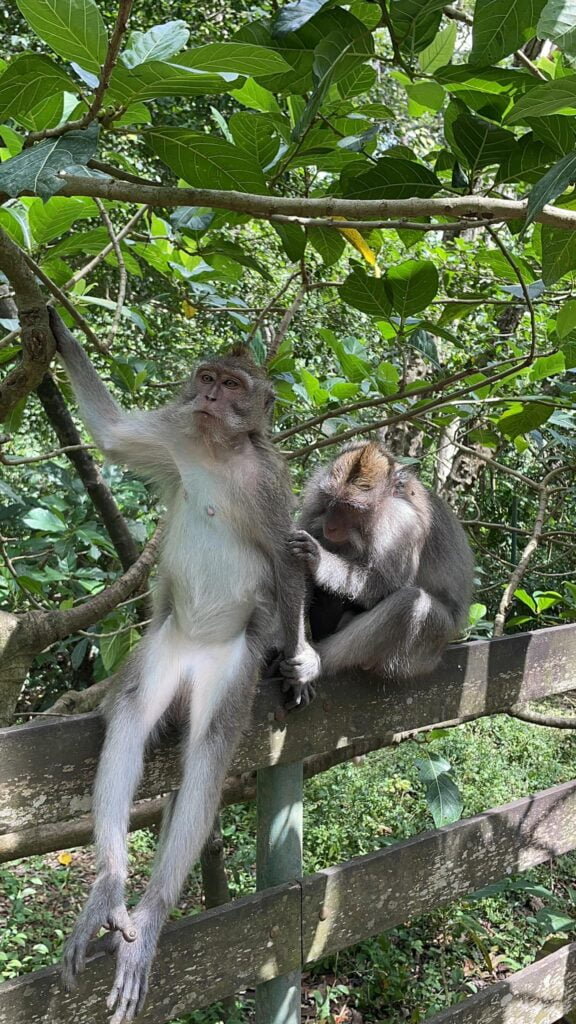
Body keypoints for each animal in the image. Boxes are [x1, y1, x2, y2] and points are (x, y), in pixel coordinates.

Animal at [48, 308, 319, 1023]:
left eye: (234, 384)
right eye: (208, 376)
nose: (210, 396)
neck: (218, 451)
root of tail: (194, 661)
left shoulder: (269, 484)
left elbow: (285, 564)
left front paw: (299, 658)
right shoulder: (176, 436)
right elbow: (114, 435)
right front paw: (44, 318)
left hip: (230, 669)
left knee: (208, 752)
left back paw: (151, 917)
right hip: (163, 647)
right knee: (132, 718)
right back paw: (109, 892)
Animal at [279, 440, 474, 705]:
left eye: (350, 508)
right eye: (331, 501)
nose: (331, 526)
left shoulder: (401, 523)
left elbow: (386, 585)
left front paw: (319, 560)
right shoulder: (314, 498)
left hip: (427, 651)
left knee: (412, 604)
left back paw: (317, 661)